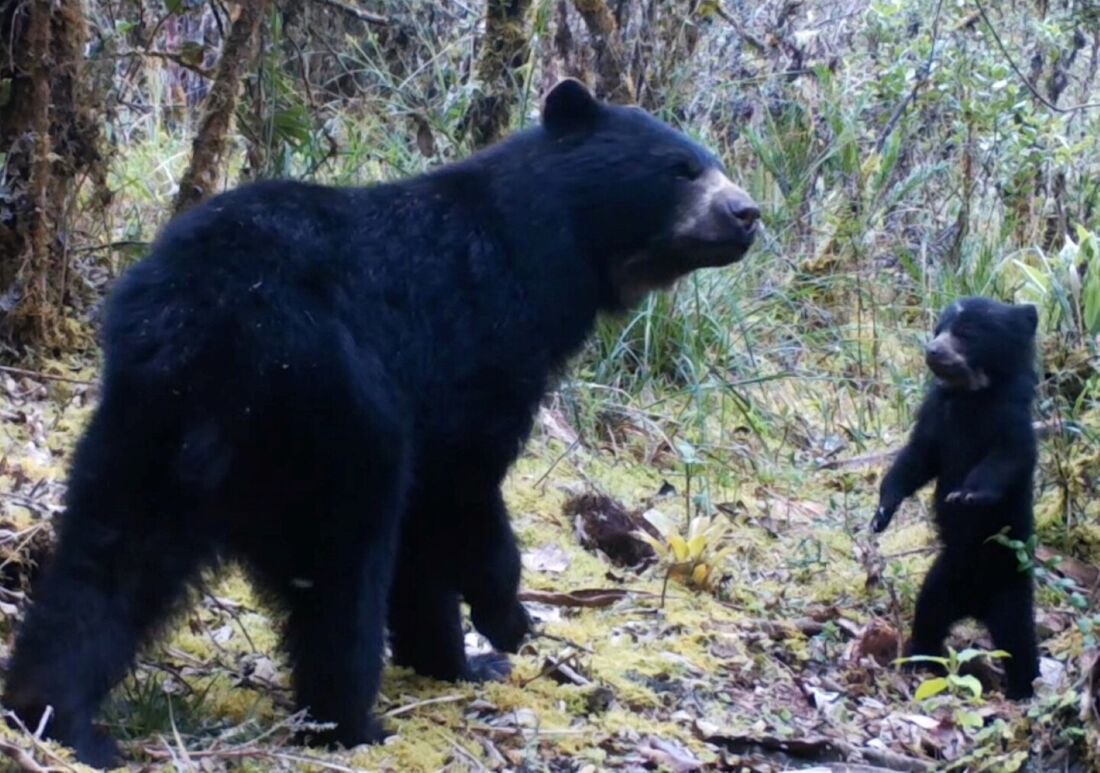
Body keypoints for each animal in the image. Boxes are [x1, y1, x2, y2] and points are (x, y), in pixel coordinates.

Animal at [2, 80, 756, 769]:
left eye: (712, 162)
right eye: (680, 169)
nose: (747, 212)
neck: (553, 251)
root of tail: (211, 321)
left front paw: (459, 657)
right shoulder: (478, 349)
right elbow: (462, 490)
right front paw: (503, 628)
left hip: (147, 423)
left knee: (108, 562)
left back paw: (60, 718)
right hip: (335, 422)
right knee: (342, 574)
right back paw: (351, 722)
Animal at [871, 296, 1034, 703]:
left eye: (966, 333)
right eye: (938, 328)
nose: (932, 350)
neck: (971, 395)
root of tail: (974, 604)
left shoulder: (1011, 421)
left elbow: (1004, 459)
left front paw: (966, 494)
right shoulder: (935, 418)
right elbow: (915, 460)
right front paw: (881, 514)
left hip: (1009, 590)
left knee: (1019, 642)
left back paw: (1023, 689)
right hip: (942, 580)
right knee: (928, 613)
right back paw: (917, 658)